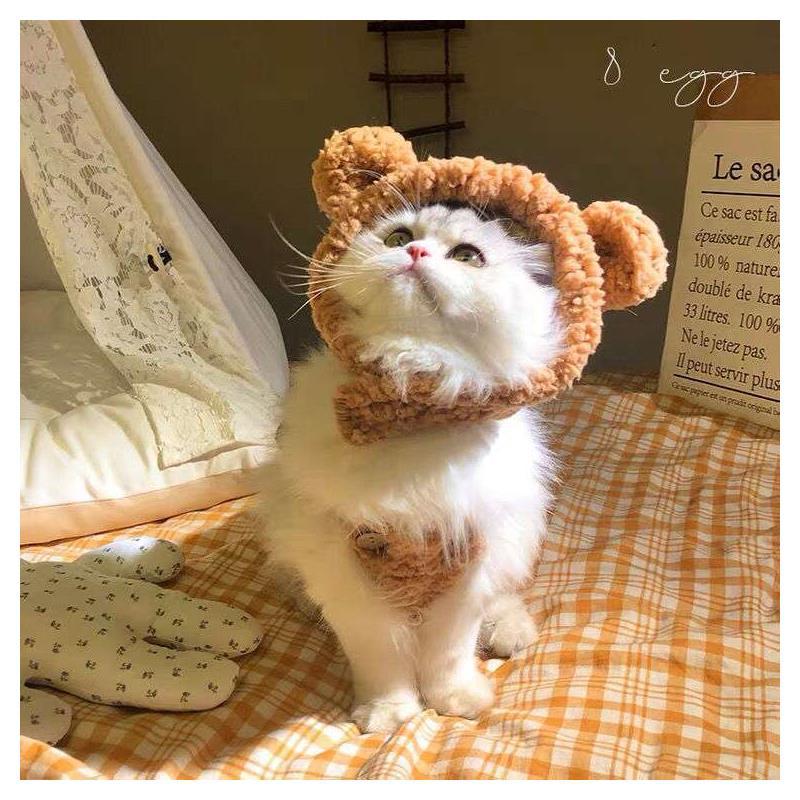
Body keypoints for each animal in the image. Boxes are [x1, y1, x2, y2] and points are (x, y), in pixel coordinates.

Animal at [260, 200, 560, 732]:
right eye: (397, 236)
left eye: (467, 255)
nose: (415, 252)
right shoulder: (349, 572)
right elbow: (383, 658)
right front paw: (387, 713)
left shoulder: (468, 563)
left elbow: (448, 655)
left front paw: (456, 701)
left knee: (501, 601)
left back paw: (509, 632)